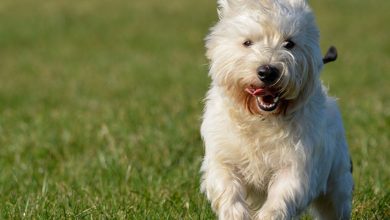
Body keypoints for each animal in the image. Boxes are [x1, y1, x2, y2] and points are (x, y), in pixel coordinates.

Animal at [201, 0, 354, 219]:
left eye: (289, 43)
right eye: (247, 42)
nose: (268, 72)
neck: (261, 120)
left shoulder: (297, 164)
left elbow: (282, 197)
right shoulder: (222, 157)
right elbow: (227, 188)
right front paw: (236, 214)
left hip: (337, 178)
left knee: (335, 206)